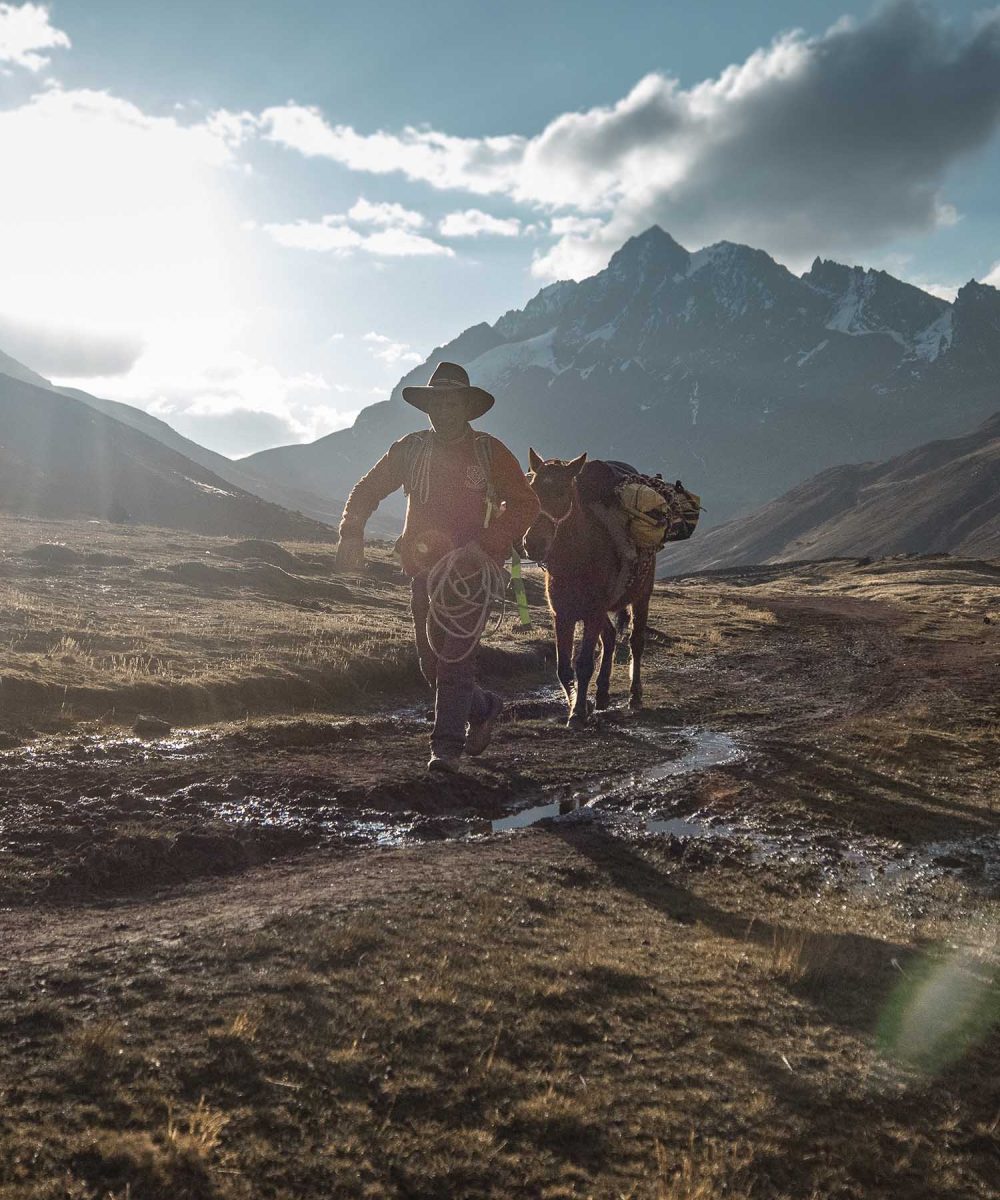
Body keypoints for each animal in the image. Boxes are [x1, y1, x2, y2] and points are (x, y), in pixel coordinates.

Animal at [523, 451, 653, 724]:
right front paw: (577, 704)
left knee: (636, 642)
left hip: (641, 597)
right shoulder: (562, 615)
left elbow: (583, 664)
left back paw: (635, 696)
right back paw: (602, 694)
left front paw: (578, 713)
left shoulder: (592, 613)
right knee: (610, 638)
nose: (533, 543)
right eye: (533, 488)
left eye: (562, 491)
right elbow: (563, 668)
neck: (578, 557)